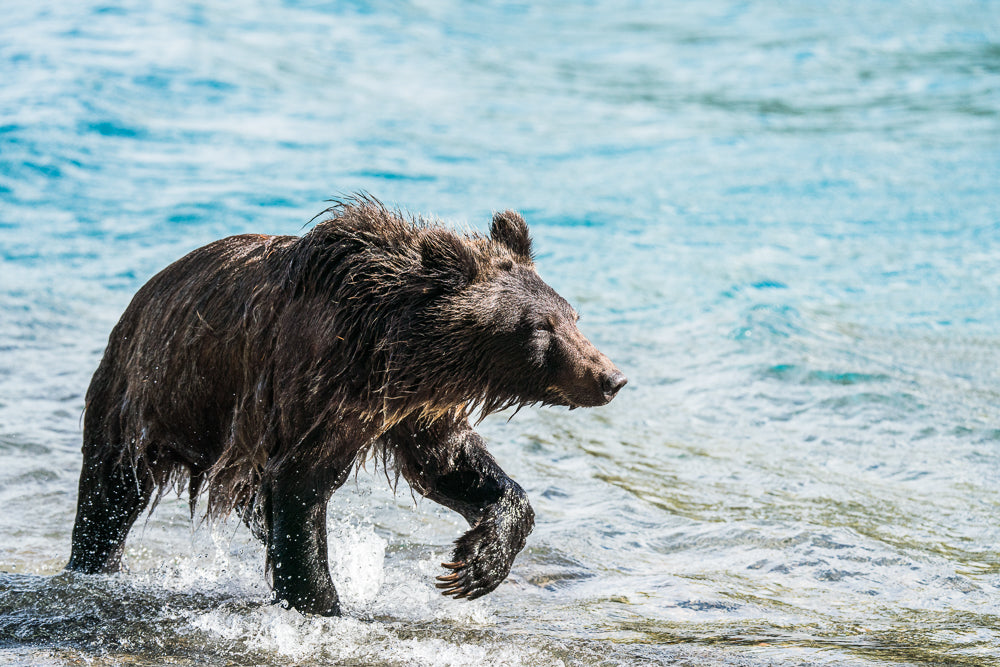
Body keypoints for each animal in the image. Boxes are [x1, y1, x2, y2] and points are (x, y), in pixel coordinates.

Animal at [66, 194, 620, 616]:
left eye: (572, 316)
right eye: (541, 329)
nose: (610, 377)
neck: (388, 347)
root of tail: (136, 304)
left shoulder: (406, 411)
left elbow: (448, 465)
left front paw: (474, 565)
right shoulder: (313, 392)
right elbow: (302, 490)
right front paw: (326, 606)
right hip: (149, 401)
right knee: (110, 498)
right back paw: (90, 564)